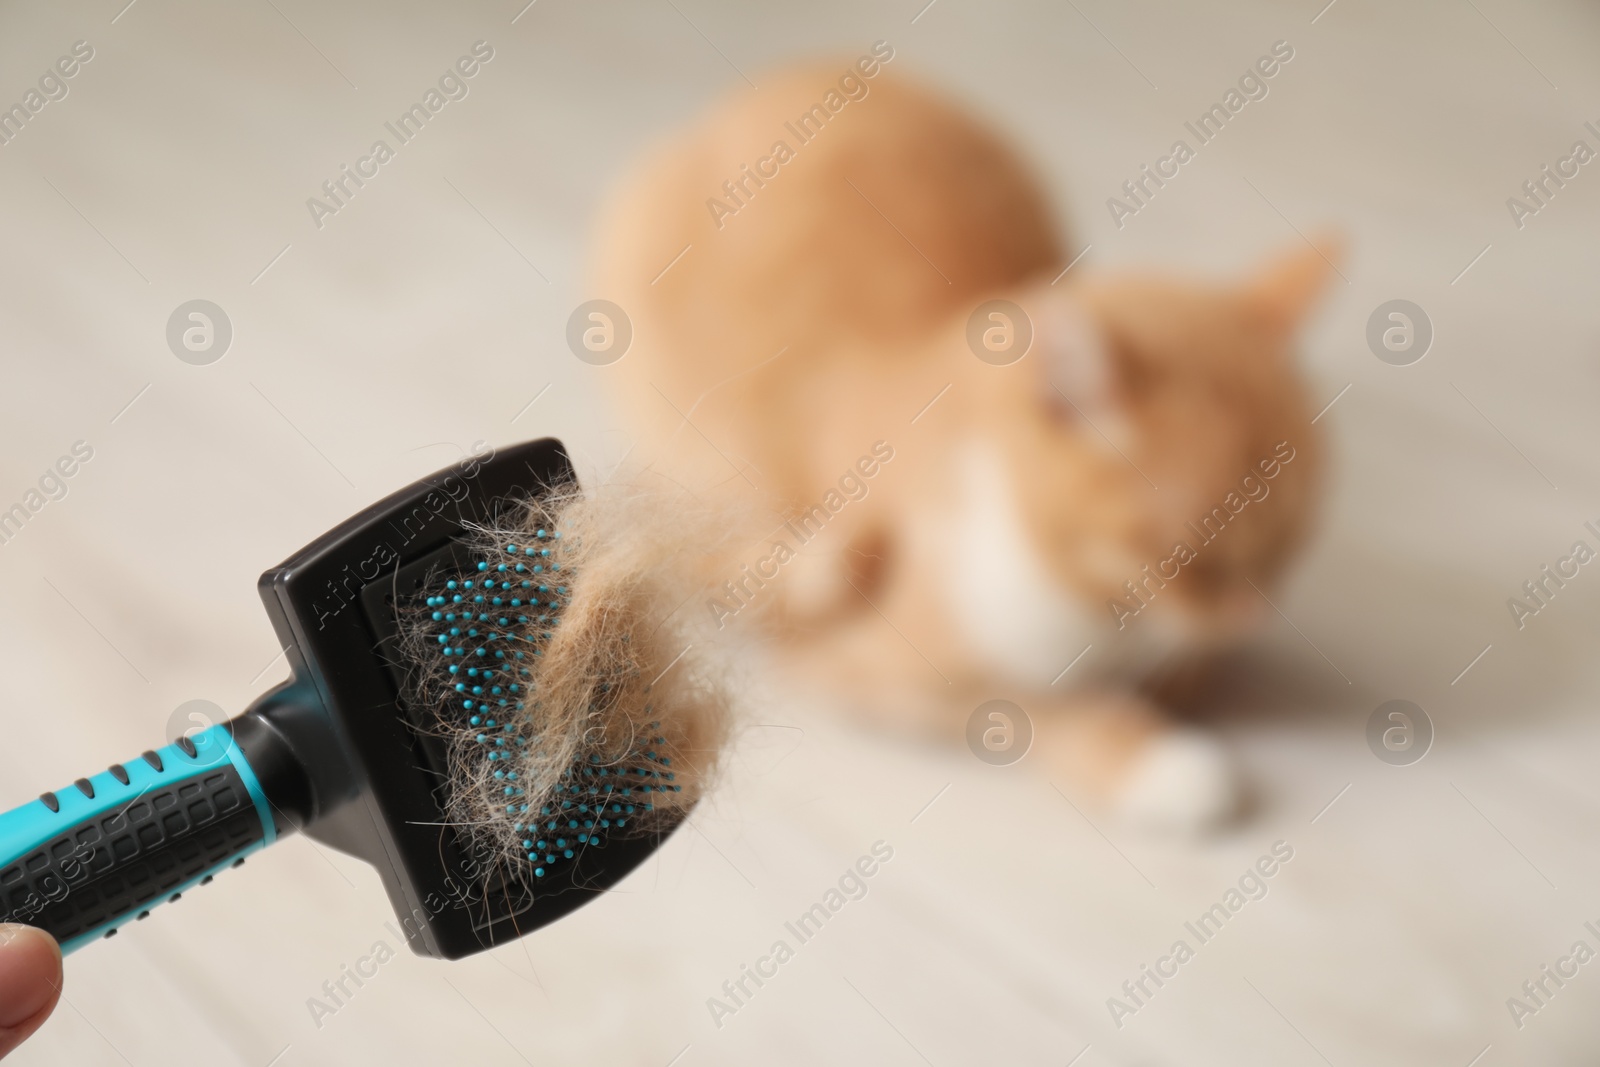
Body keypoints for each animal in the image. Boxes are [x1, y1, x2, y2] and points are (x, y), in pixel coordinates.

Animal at [595, 51, 1331, 831]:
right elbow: (1041, 707)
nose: (1255, 612)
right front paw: (1156, 761)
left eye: (1292, 539)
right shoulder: (875, 667)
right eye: (1191, 557)